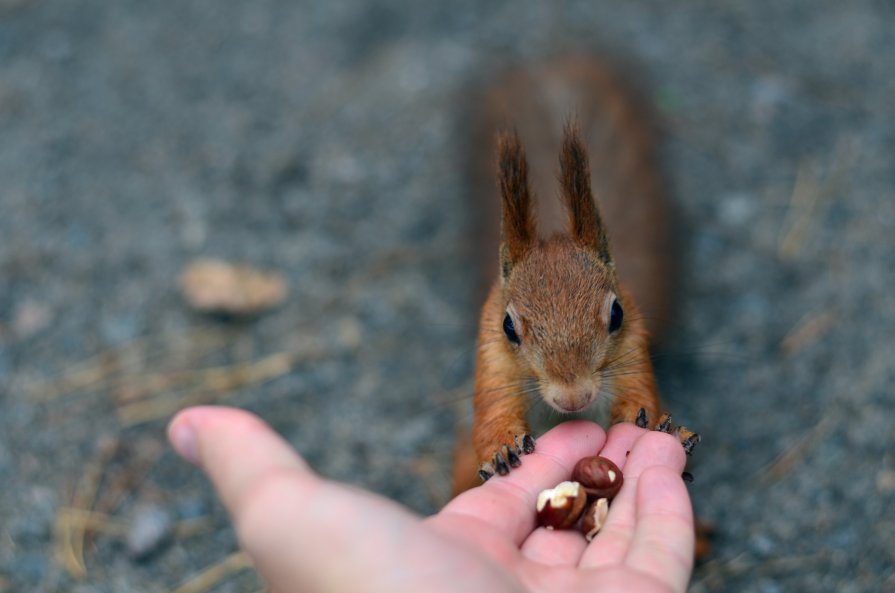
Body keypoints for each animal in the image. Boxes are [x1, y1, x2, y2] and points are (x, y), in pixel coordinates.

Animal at [456, 57, 700, 488]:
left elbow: (640, 394)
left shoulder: (634, 347)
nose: (573, 398)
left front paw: (654, 424)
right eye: (508, 326)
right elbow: (492, 415)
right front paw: (502, 447)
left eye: (616, 313)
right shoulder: (493, 360)